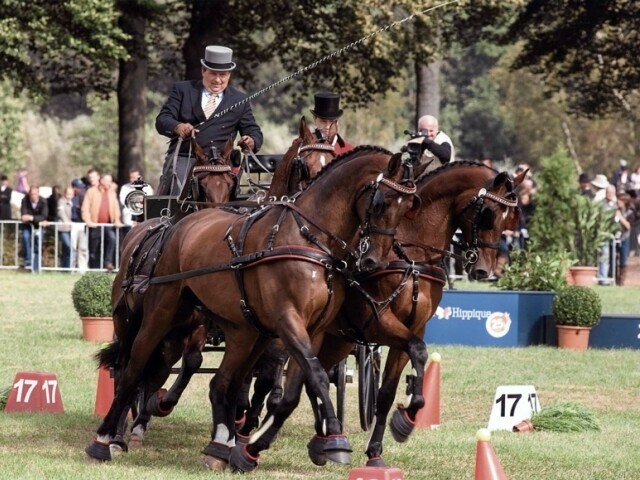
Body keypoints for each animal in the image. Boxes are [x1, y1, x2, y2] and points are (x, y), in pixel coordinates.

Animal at [298, 162, 524, 468]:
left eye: (509, 217)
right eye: (488, 214)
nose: (484, 270)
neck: (412, 254)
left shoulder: (412, 329)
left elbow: (388, 391)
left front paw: (382, 445)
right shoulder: (380, 323)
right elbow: (419, 351)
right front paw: (404, 420)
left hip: (338, 339)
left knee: (313, 375)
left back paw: (322, 440)